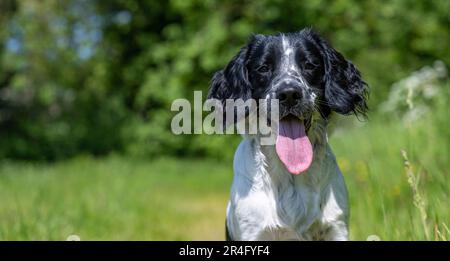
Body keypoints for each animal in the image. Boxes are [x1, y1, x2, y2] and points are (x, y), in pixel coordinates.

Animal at [207, 28, 370, 240]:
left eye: (309, 65)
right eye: (263, 68)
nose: (289, 94)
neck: (291, 172)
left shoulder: (336, 227)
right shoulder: (252, 231)